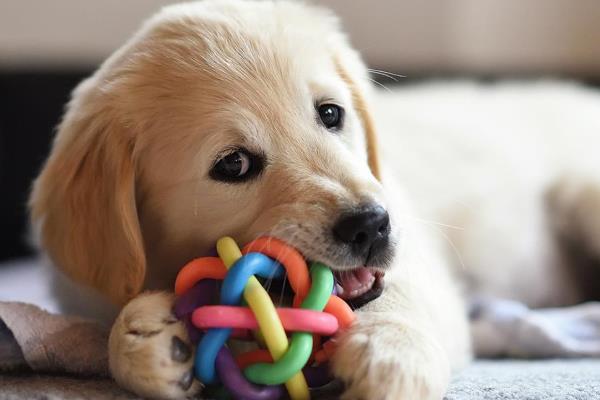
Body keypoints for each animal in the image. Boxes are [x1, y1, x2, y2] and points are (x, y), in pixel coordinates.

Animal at [30, 0, 478, 400]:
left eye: (331, 113)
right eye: (234, 164)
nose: (370, 226)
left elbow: (403, 292)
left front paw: (391, 353)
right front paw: (142, 337)